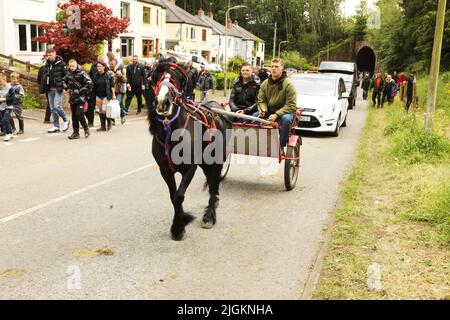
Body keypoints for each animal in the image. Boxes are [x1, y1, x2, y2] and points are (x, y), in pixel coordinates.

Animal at [149, 59, 230, 240]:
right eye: (156, 77)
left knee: (213, 184)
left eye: (177, 78)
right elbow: (173, 196)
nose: (163, 102)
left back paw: (209, 216)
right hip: (205, 163)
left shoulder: (190, 168)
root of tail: (217, 110)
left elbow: (179, 196)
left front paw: (179, 226)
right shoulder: (165, 170)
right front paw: (178, 226)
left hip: (216, 160)